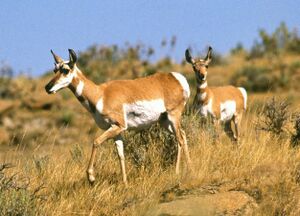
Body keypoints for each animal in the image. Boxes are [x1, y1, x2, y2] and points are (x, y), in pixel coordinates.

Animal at [45, 49, 193, 186]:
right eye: (54, 70)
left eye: (65, 70)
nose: (47, 87)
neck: (100, 94)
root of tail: (176, 78)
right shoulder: (117, 130)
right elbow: (121, 155)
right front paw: (125, 183)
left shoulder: (118, 125)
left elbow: (96, 141)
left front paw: (91, 177)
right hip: (164, 121)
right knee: (183, 134)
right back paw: (189, 169)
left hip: (173, 115)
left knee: (179, 139)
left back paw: (177, 172)